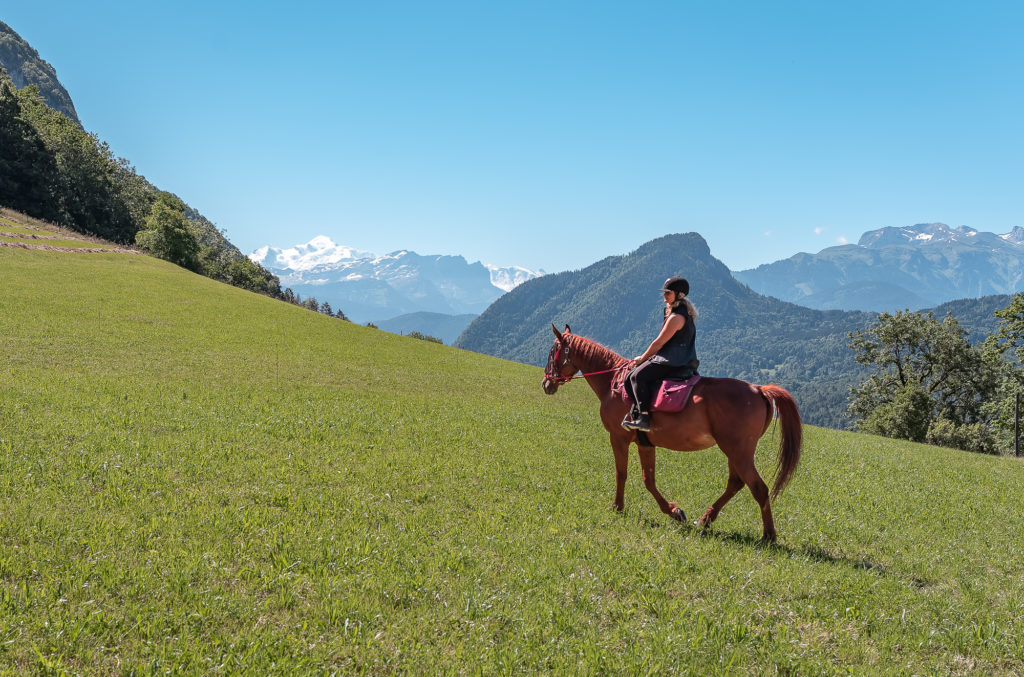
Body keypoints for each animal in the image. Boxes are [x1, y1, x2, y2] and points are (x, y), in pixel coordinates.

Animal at [540, 325, 802, 540]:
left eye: (552, 352)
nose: (546, 384)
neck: (613, 383)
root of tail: (758, 389)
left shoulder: (619, 437)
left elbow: (621, 473)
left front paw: (617, 507)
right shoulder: (644, 442)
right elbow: (648, 480)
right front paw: (675, 512)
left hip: (738, 450)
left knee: (758, 488)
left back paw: (768, 536)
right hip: (735, 451)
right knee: (736, 483)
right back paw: (706, 519)